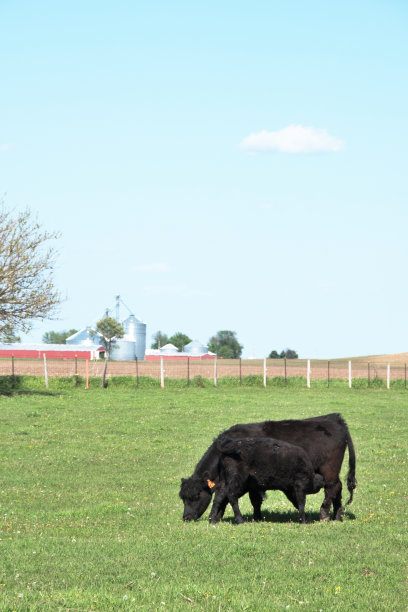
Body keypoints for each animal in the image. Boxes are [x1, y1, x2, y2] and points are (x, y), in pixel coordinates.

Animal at [180, 412, 356, 520]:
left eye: (195, 496)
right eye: (182, 497)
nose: (186, 517)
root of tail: (335, 419)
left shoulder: (251, 483)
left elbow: (254, 500)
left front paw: (256, 517)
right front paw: (217, 517)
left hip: (329, 470)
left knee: (331, 488)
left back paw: (325, 514)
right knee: (338, 488)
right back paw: (337, 516)